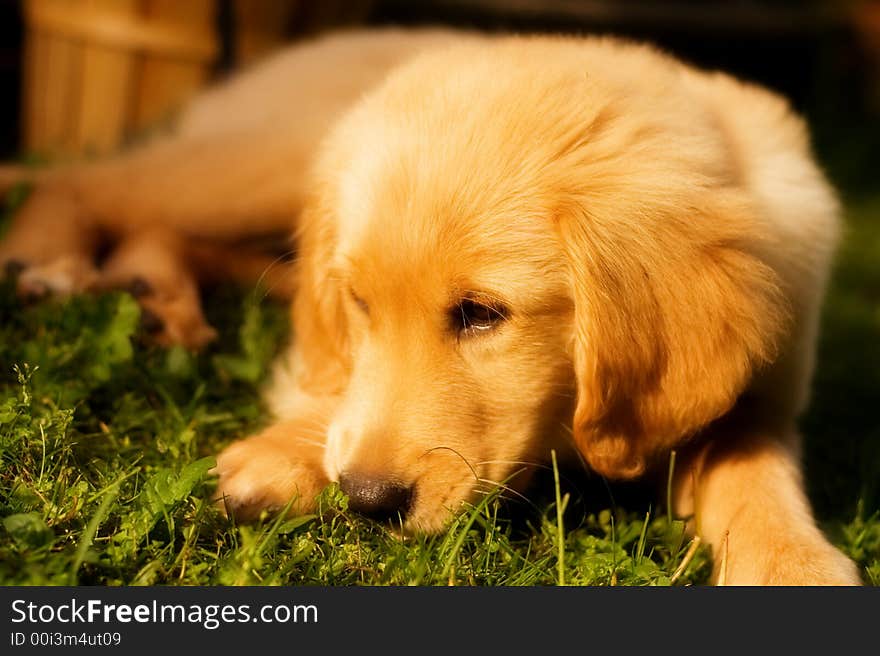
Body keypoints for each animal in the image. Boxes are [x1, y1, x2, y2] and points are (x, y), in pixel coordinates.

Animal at [0, 29, 864, 584]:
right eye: (360, 303)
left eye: (482, 312)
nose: (368, 502)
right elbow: (336, 376)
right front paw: (287, 453)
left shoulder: (760, 388)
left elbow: (755, 469)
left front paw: (795, 566)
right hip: (269, 161)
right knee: (94, 181)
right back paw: (49, 262)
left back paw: (159, 298)